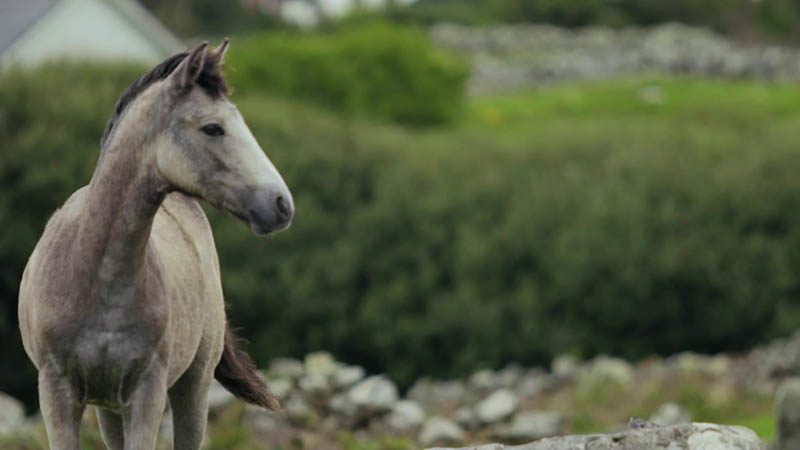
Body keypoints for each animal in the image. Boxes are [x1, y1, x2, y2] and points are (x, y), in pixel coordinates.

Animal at [17, 39, 292, 450]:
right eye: (213, 128)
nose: (281, 204)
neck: (95, 273)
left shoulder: (146, 394)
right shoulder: (57, 392)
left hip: (193, 388)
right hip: (107, 408)